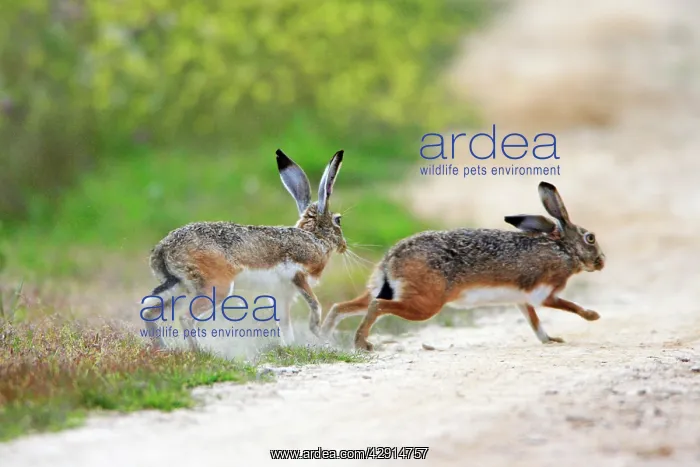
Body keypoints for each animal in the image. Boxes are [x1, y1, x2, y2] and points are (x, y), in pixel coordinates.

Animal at [140, 148, 347, 350]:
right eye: (338, 220)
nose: (344, 245)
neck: (316, 238)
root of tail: (164, 248)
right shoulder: (298, 277)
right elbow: (315, 306)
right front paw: (320, 334)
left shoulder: (282, 293)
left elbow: (284, 323)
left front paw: (290, 346)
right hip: (215, 287)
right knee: (185, 318)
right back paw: (200, 352)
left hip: (180, 286)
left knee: (149, 311)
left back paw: (162, 348)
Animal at [321, 181, 605, 351]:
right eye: (590, 238)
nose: (601, 262)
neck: (564, 250)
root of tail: (392, 260)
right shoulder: (544, 293)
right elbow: (568, 306)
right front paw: (593, 316)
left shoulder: (522, 300)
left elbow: (535, 323)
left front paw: (551, 340)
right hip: (426, 303)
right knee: (377, 306)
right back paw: (362, 344)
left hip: (383, 289)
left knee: (342, 307)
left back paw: (323, 336)